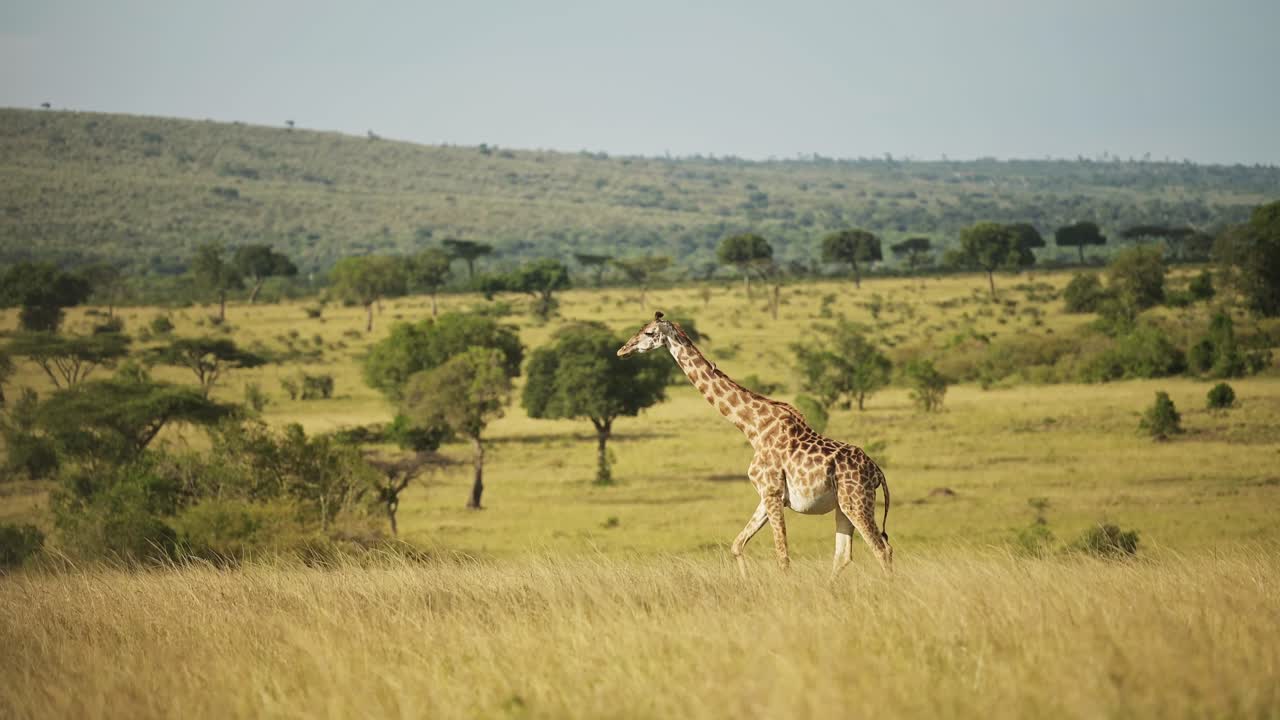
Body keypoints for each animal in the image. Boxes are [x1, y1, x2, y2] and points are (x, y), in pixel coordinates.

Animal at [617, 312, 892, 580]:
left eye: (649, 333)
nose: (622, 350)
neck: (753, 428)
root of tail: (877, 472)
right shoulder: (767, 495)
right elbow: (737, 545)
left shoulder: (771, 492)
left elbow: (782, 557)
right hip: (843, 505)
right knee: (845, 555)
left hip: (857, 501)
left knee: (881, 548)